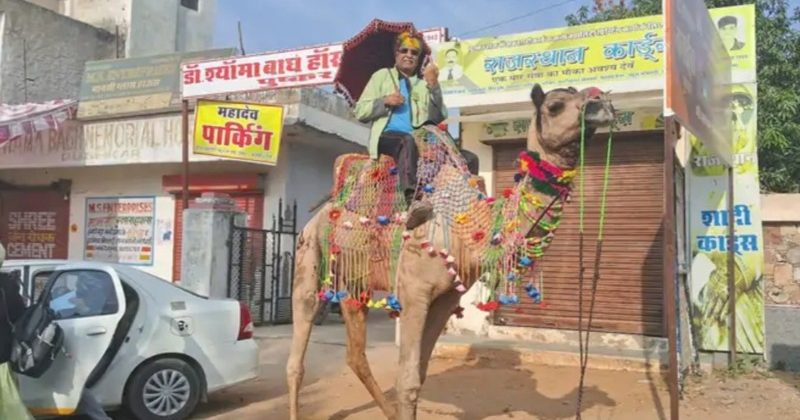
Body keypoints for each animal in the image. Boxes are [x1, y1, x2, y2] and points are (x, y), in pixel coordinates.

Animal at [287, 83, 616, 420]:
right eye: (555, 105)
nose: (601, 103)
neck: (471, 225)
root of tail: (318, 214)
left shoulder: (446, 298)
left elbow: (419, 375)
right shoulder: (414, 293)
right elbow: (406, 380)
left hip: (354, 282)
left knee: (355, 354)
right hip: (309, 257)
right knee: (297, 354)